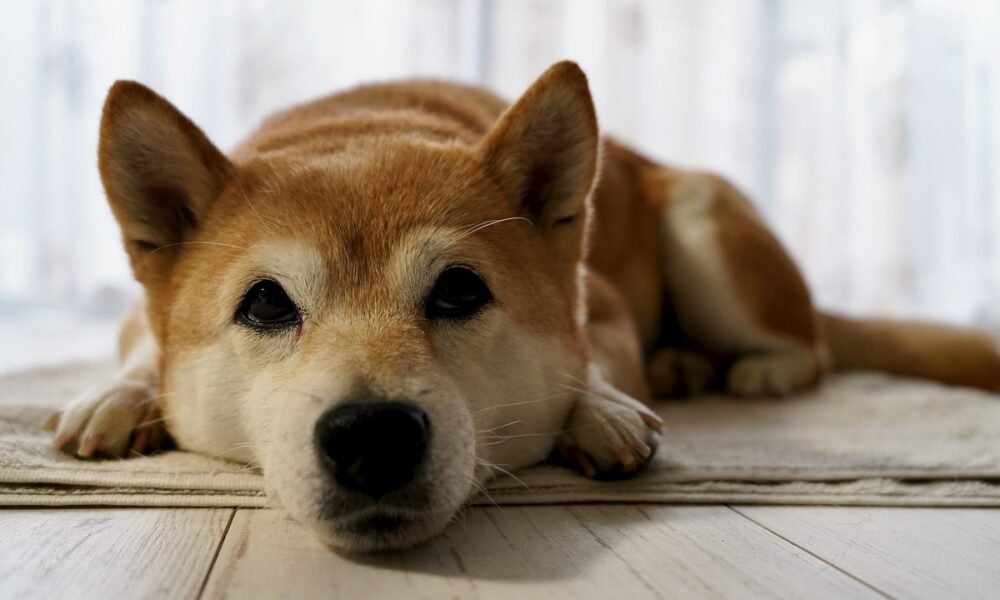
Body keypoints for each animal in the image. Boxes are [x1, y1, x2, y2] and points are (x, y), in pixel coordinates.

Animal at [47, 62, 1000, 552]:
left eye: (460, 290)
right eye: (266, 305)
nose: (371, 434)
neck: (359, 129)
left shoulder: (600, 306)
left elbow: (591, 361)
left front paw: (601, 410)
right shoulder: (141, 316)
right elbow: (141, 349)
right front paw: (113, 398)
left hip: (702, 223)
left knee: (815, 347)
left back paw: (749, 369)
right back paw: (682, 364)